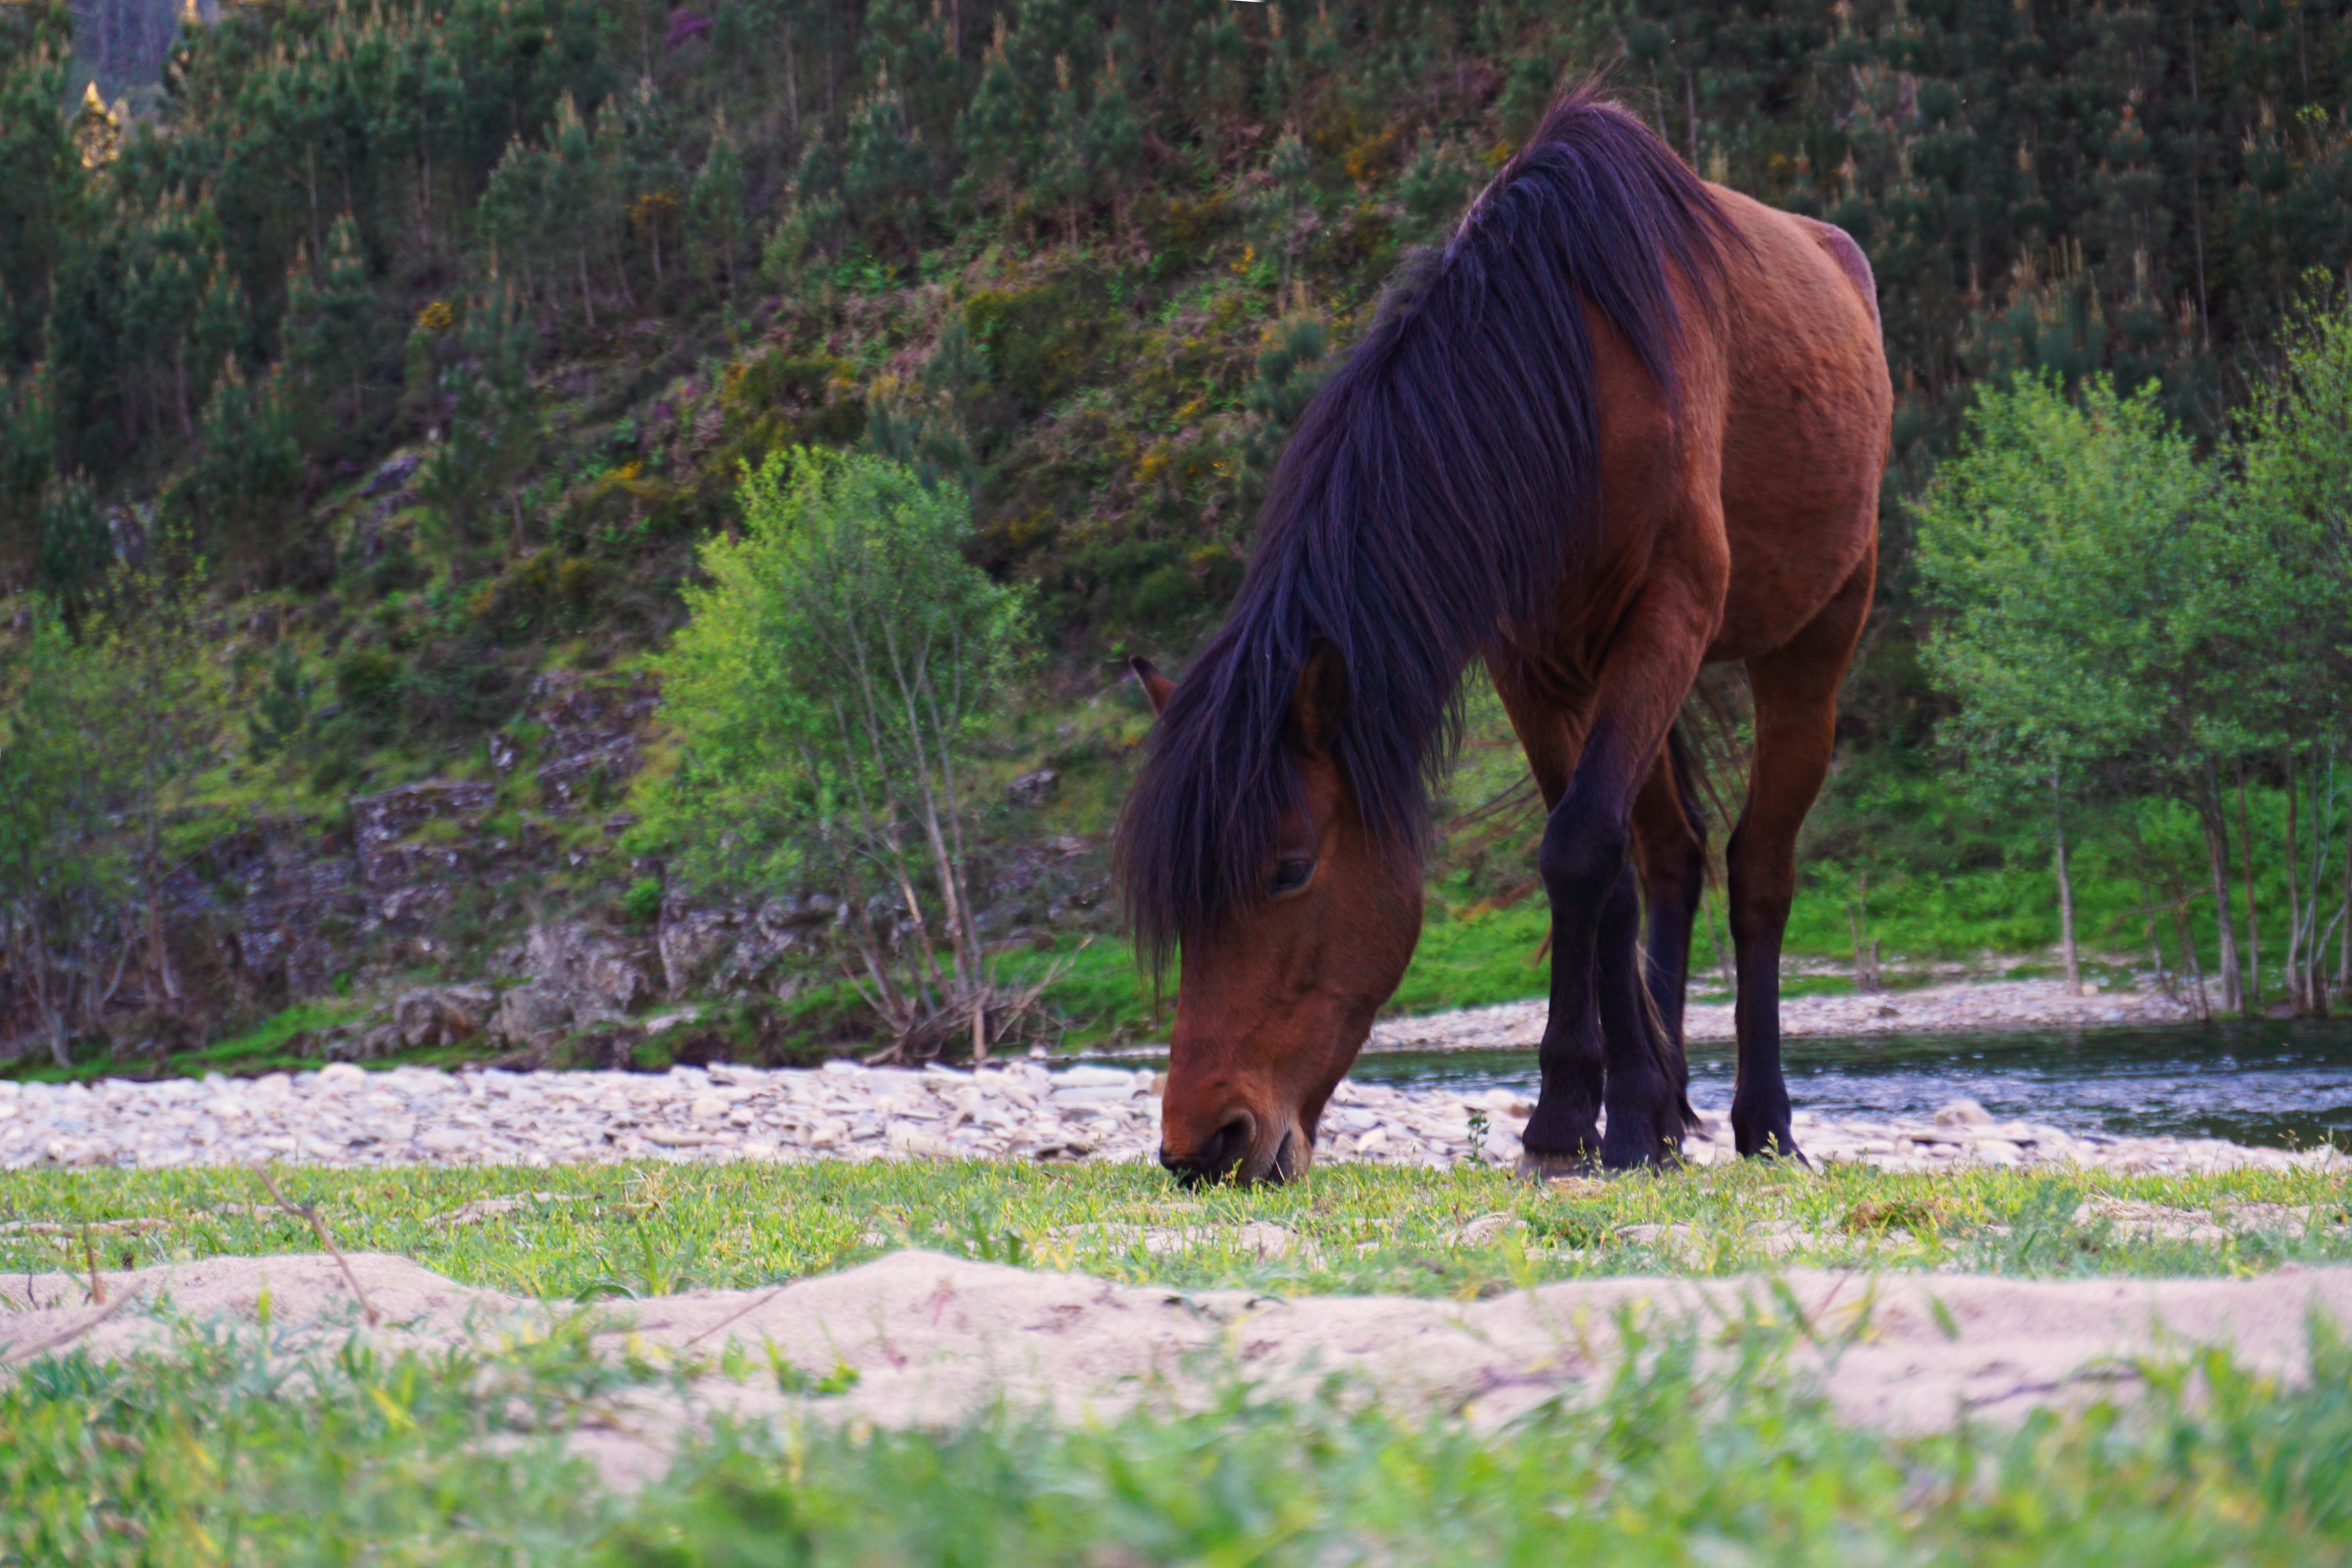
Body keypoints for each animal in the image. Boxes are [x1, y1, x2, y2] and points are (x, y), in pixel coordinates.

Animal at [1115, 92, 1891, 1184]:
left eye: (1288, 869)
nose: (1204, 1144)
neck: (1572, 382)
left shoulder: (1666, 617)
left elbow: (1578, 848)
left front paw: (1569, 1122)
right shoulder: (1534, 664)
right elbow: (1605, 875)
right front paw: (1622, 1112)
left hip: (1809, 647)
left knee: (1758, 872)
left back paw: (1766, 1122)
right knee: (1672, 856)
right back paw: (1669, 1110)